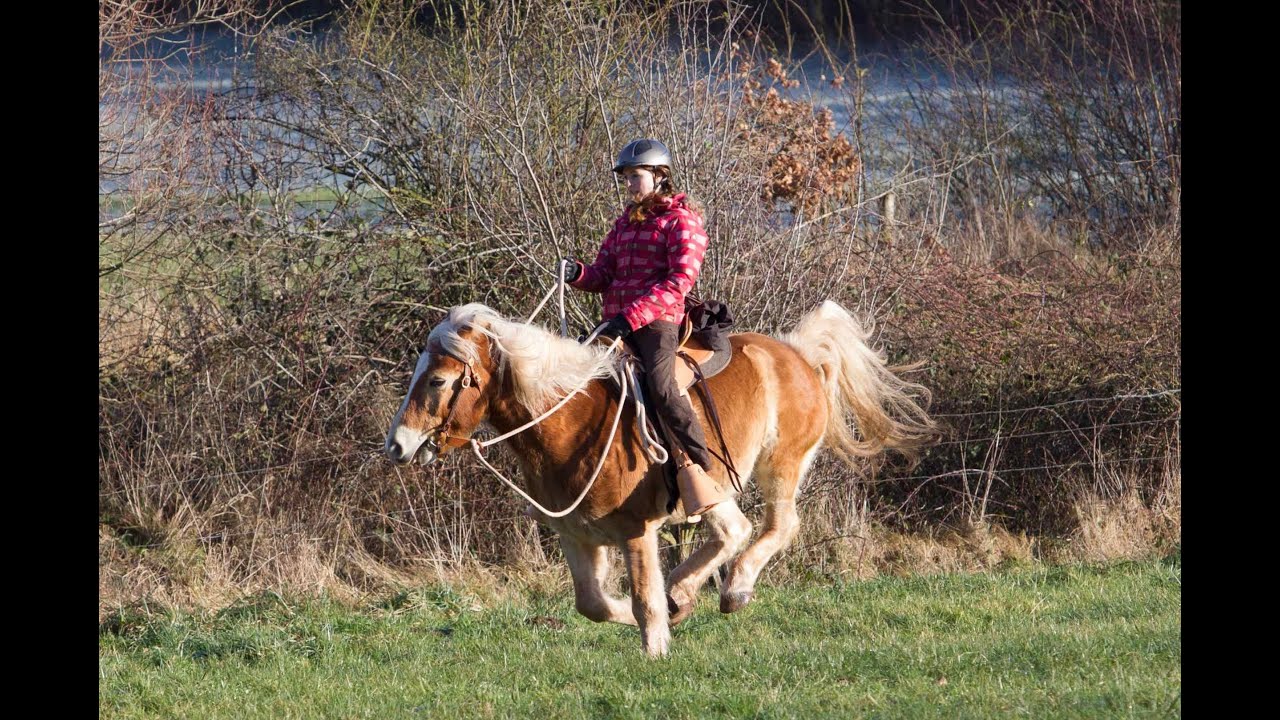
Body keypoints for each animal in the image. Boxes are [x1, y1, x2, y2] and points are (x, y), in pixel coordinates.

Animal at [384, 299, 936, 653]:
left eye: (438, 380)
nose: (398, 445)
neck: (572, 419)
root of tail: (797, 351)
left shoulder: (636, 530)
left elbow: (644, 599)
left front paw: (655, 647)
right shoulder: (575, 534)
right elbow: (593, 603)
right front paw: (655, 617)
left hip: (780, 465)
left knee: (771, 528)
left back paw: (733, 590)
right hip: (721, 485)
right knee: (729, 531)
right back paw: (687, 594)